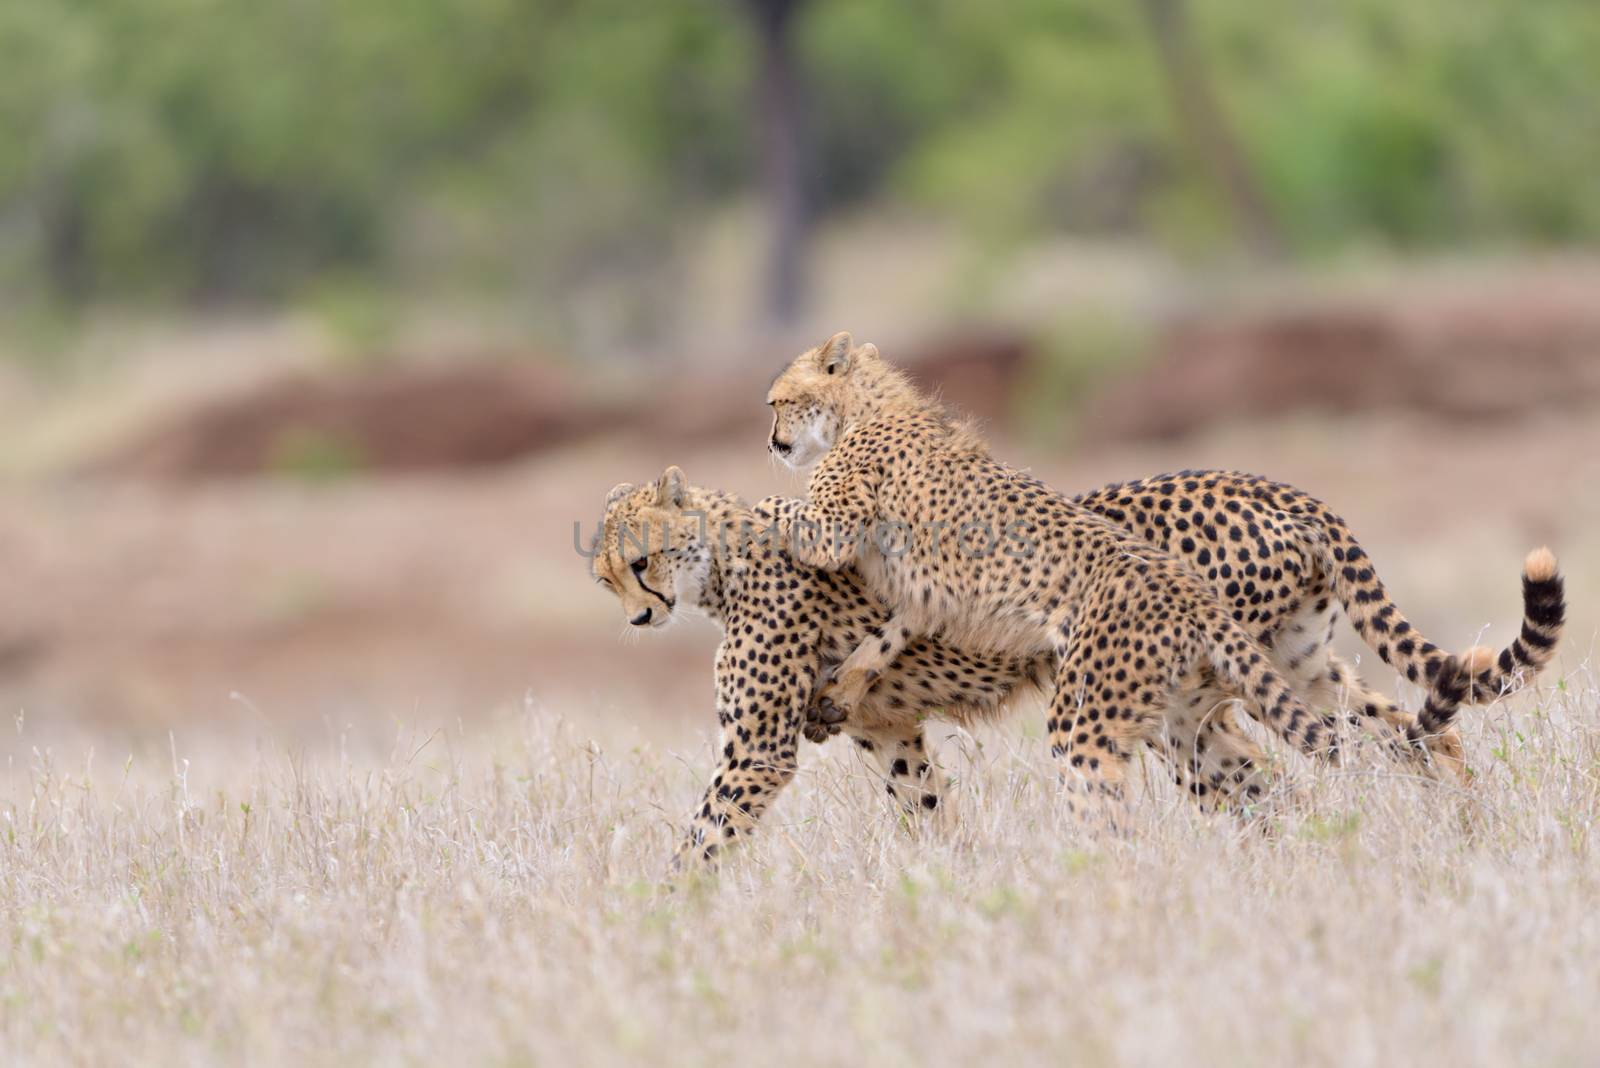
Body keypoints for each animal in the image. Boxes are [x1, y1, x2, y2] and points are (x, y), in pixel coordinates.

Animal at [588, 466, 1299, 869]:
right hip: (1192, 713)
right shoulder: (887, 731)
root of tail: (1274, 492)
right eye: (605, 578)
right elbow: (925, 808)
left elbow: (702, 839)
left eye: (642, 561)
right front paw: (948, 885)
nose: (639, 618)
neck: (723, 562)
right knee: (1266, 781)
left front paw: (663, 923)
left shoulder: (758, 752)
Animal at [768, 334, 1555, 818]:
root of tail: (1290, 494)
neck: (870, 405)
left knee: (1260, 776)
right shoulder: (906, 670)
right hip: (1294, 663)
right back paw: (1459, 823)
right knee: (1402, 735)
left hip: (1185, 701)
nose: (772, 441)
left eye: (777, 401)